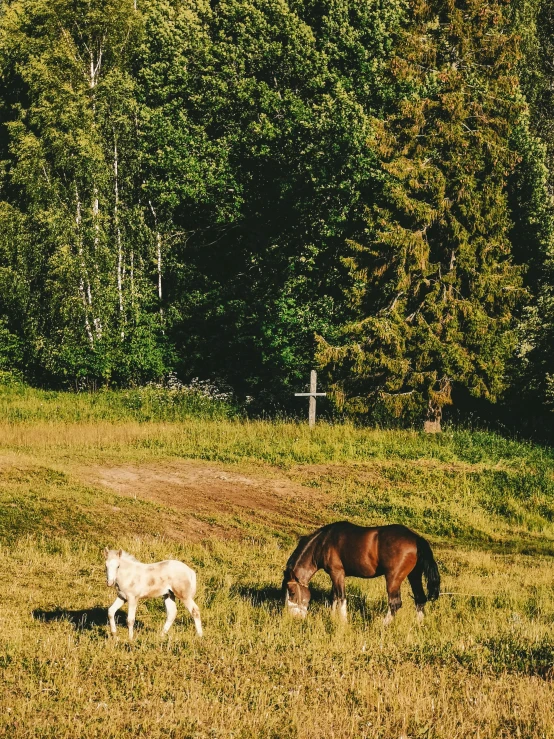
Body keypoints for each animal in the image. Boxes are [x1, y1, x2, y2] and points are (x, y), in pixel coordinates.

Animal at [282, 520, 438, 624]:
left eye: (292, 592)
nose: (292, 617)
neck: (323, 542)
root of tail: (416, 538)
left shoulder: (337, 573)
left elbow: (341, 597)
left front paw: (343, 622)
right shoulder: (335, 575)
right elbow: (334, 596)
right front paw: (332, 617)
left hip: (393, 578)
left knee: (395, 603)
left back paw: (383, 625)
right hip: (414, 575)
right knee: (420, 599)